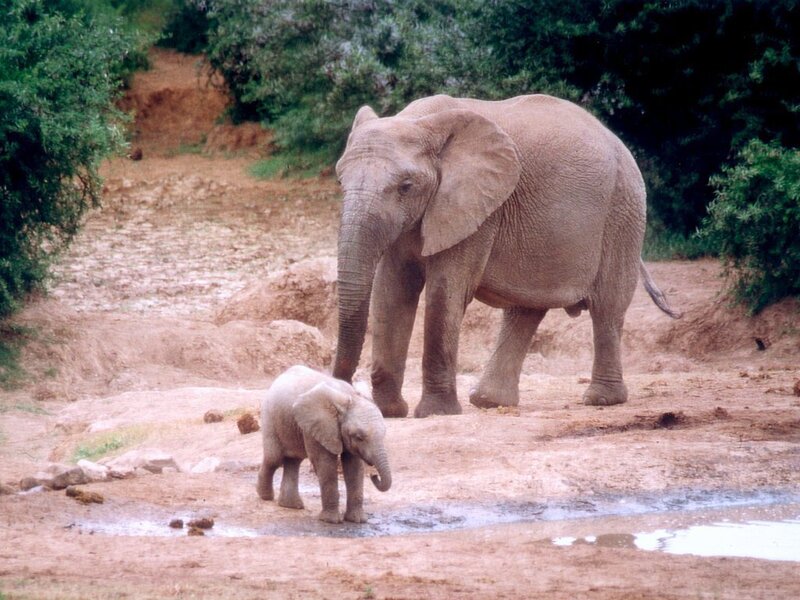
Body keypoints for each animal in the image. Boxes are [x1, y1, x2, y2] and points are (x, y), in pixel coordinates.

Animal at [256, 365, 391, 523]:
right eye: (359, 437)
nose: (374, 476)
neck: (349, 398)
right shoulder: (317, 425)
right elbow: (324, 463)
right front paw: (331, 521)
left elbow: (354, 467)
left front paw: (357, 520)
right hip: (270, 416)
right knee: (274, 459)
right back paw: (265, 497)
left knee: (294, 460)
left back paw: (291, 506)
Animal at [332, 93, 679, 419]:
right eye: (340, 182)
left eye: (406, 186)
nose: (343, 393)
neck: (421, 122)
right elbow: (392, 291)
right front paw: (390, 412)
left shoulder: (478, 210)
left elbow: (445, 293)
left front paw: (436, 412)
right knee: (526, 309)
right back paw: (489, 401)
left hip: (623, 212)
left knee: (607, 306)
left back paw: (601, 400)